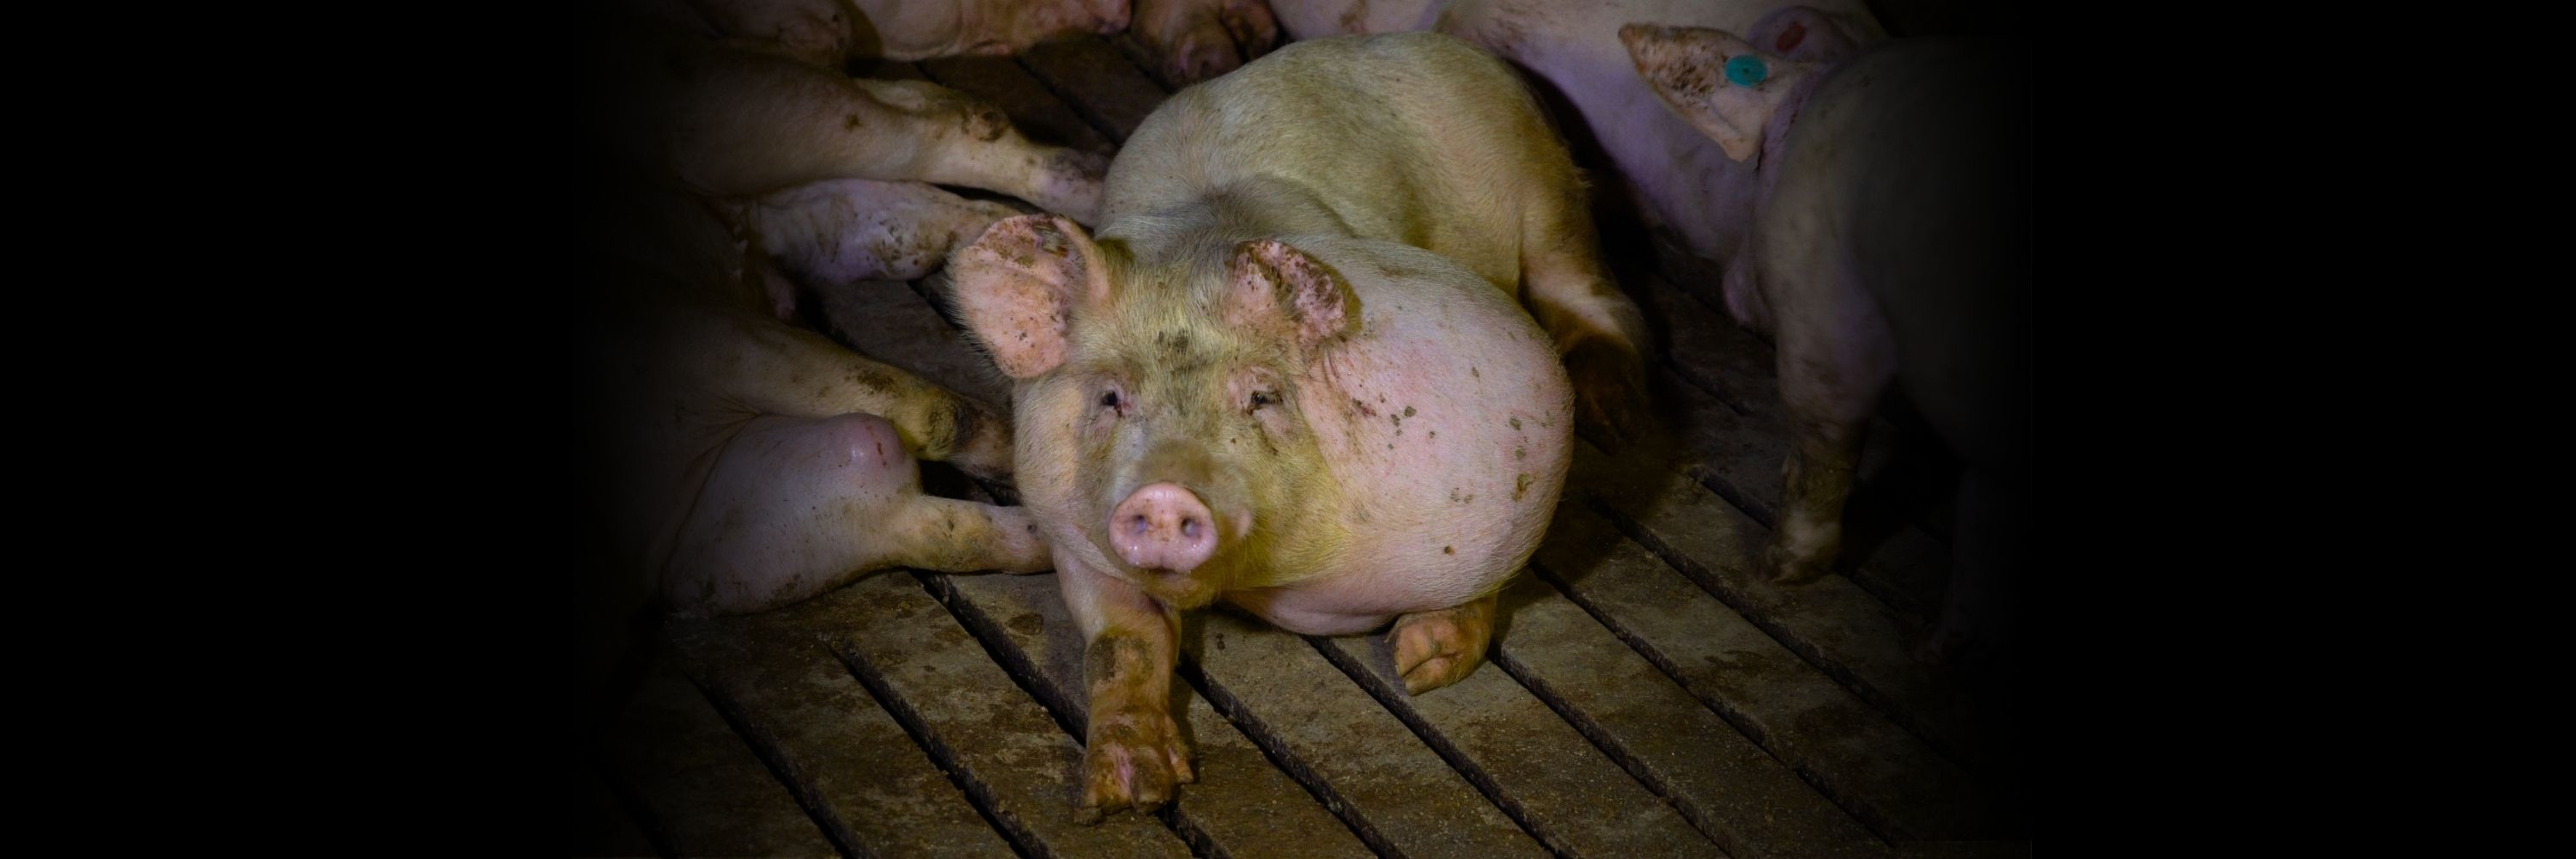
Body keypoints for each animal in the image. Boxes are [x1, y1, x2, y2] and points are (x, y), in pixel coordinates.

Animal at [946, 31, 1644, 821]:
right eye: (1112, 398)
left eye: (1260, 396)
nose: (1164, 494)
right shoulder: (1073, 533)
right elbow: (1124, 641)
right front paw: (1125, 795)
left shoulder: (1505, 438)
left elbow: (1485, 575)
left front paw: (1420, 665)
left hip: (1544, 180)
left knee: (1584, 281)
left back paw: (1618, 418)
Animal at [1622, 24, 2030, 663]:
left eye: (1761, 163)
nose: (1733, 292)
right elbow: (1984, 517)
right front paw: (1939, 652)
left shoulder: (1820, 306)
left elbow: (1824, 446)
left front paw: (1778, 571)